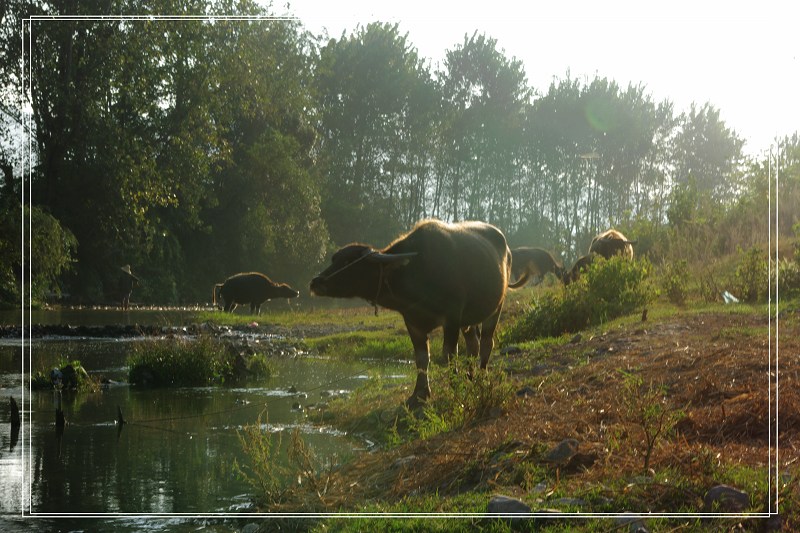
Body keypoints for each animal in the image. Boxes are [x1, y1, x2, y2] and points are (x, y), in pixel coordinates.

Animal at [310, 218, 528, 406]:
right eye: (334, 259)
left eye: (349, 262)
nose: (315, 282)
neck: (418, 272)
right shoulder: (412, 322)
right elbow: (422, 358)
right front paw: (419, 394)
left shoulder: (451, 319)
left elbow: (449, 355)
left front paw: (454, 385)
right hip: (470, 319)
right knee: (473, 344)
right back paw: (470, 376)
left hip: (496, 307)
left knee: (486, 343)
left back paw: (481, 375)